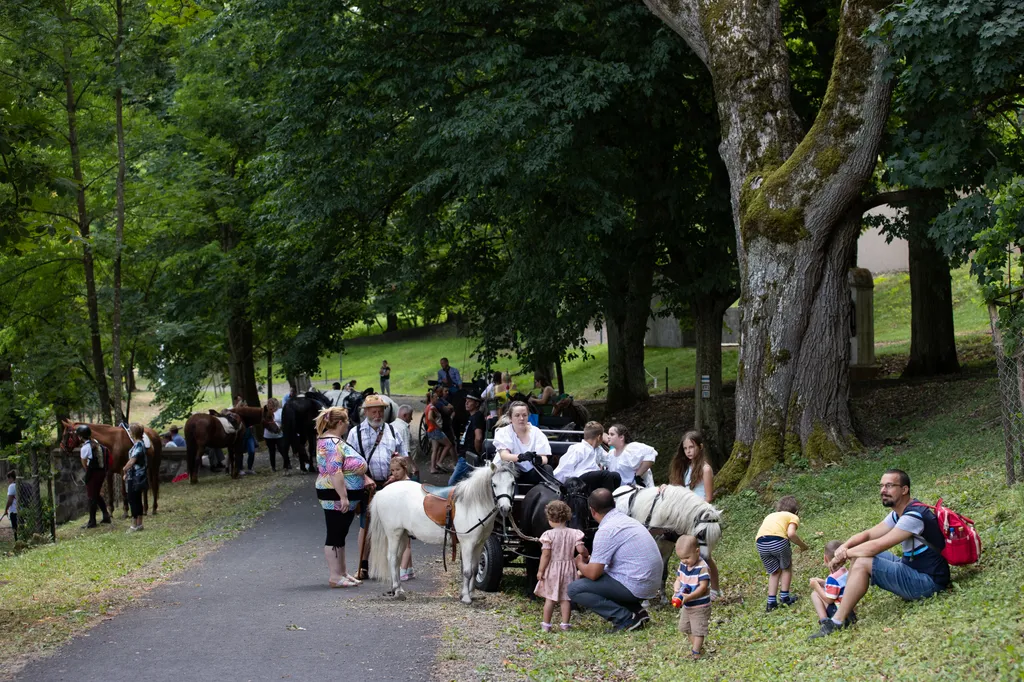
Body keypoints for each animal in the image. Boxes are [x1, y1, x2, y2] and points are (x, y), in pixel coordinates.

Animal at [368, 458, 516, 602]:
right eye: (494, 484)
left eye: (513, 483)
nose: (505, 508)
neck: (473, 504)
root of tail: (381, 492)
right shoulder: (467, 544)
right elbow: (467, 571)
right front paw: (466, 597)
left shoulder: (479, 544)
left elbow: (474, 569)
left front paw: (472, 594)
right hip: (394, 534)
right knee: (392, 559)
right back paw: (397, 591)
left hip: (404, 535)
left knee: (398, 559)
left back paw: (399, 589)